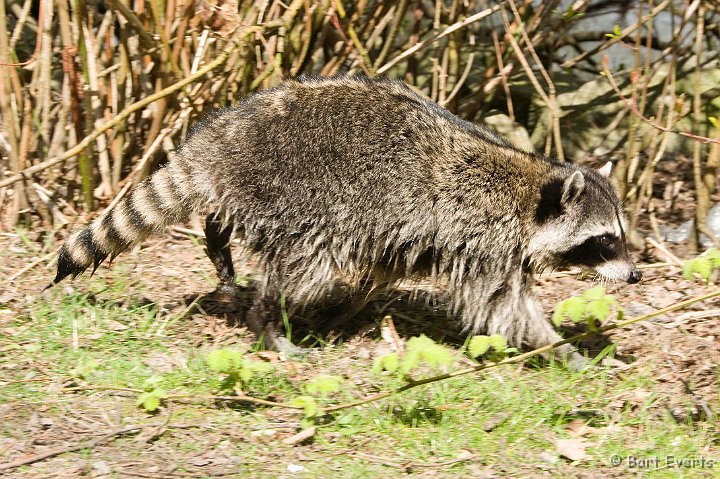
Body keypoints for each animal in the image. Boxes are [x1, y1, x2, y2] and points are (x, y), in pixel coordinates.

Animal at [53, 76, 644, 368]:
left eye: (620, 237)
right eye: (604, 241)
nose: (635, 274)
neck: (532, 192)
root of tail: (219, 137)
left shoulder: (420, 237)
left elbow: (381, 272)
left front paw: (349, 312)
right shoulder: (484, 242)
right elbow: (505, 308)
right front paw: (561, 350)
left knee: (231, 225)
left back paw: (220, 245)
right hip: (296, 196)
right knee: (303, 269)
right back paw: (269, 324)